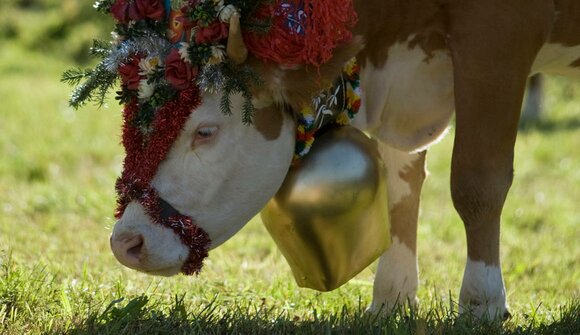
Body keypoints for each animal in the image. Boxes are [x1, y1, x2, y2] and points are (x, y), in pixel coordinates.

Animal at [110, 0, 580, 320]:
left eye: (205, 131)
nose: (125, 243)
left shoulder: (497, 40)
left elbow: (477, 183)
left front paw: (483, 301)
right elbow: (402, 185)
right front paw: (393, 296)